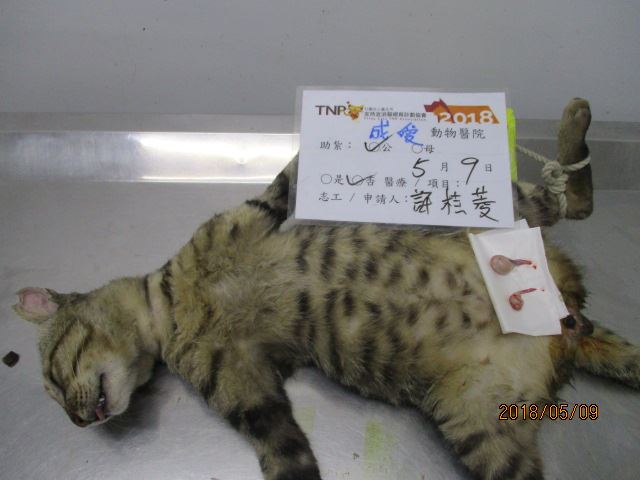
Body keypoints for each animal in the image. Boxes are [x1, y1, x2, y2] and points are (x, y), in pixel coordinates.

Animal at [13, 98, 639, 480]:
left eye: (51, 380)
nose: (77, 422)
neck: (172, 306)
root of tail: (566, 321)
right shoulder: (249, 393)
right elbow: (288, 455)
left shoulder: (252, 213)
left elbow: (292, 170)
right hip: (482, 423)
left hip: (498, 214)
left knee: (572, 201)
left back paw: (575, 127)